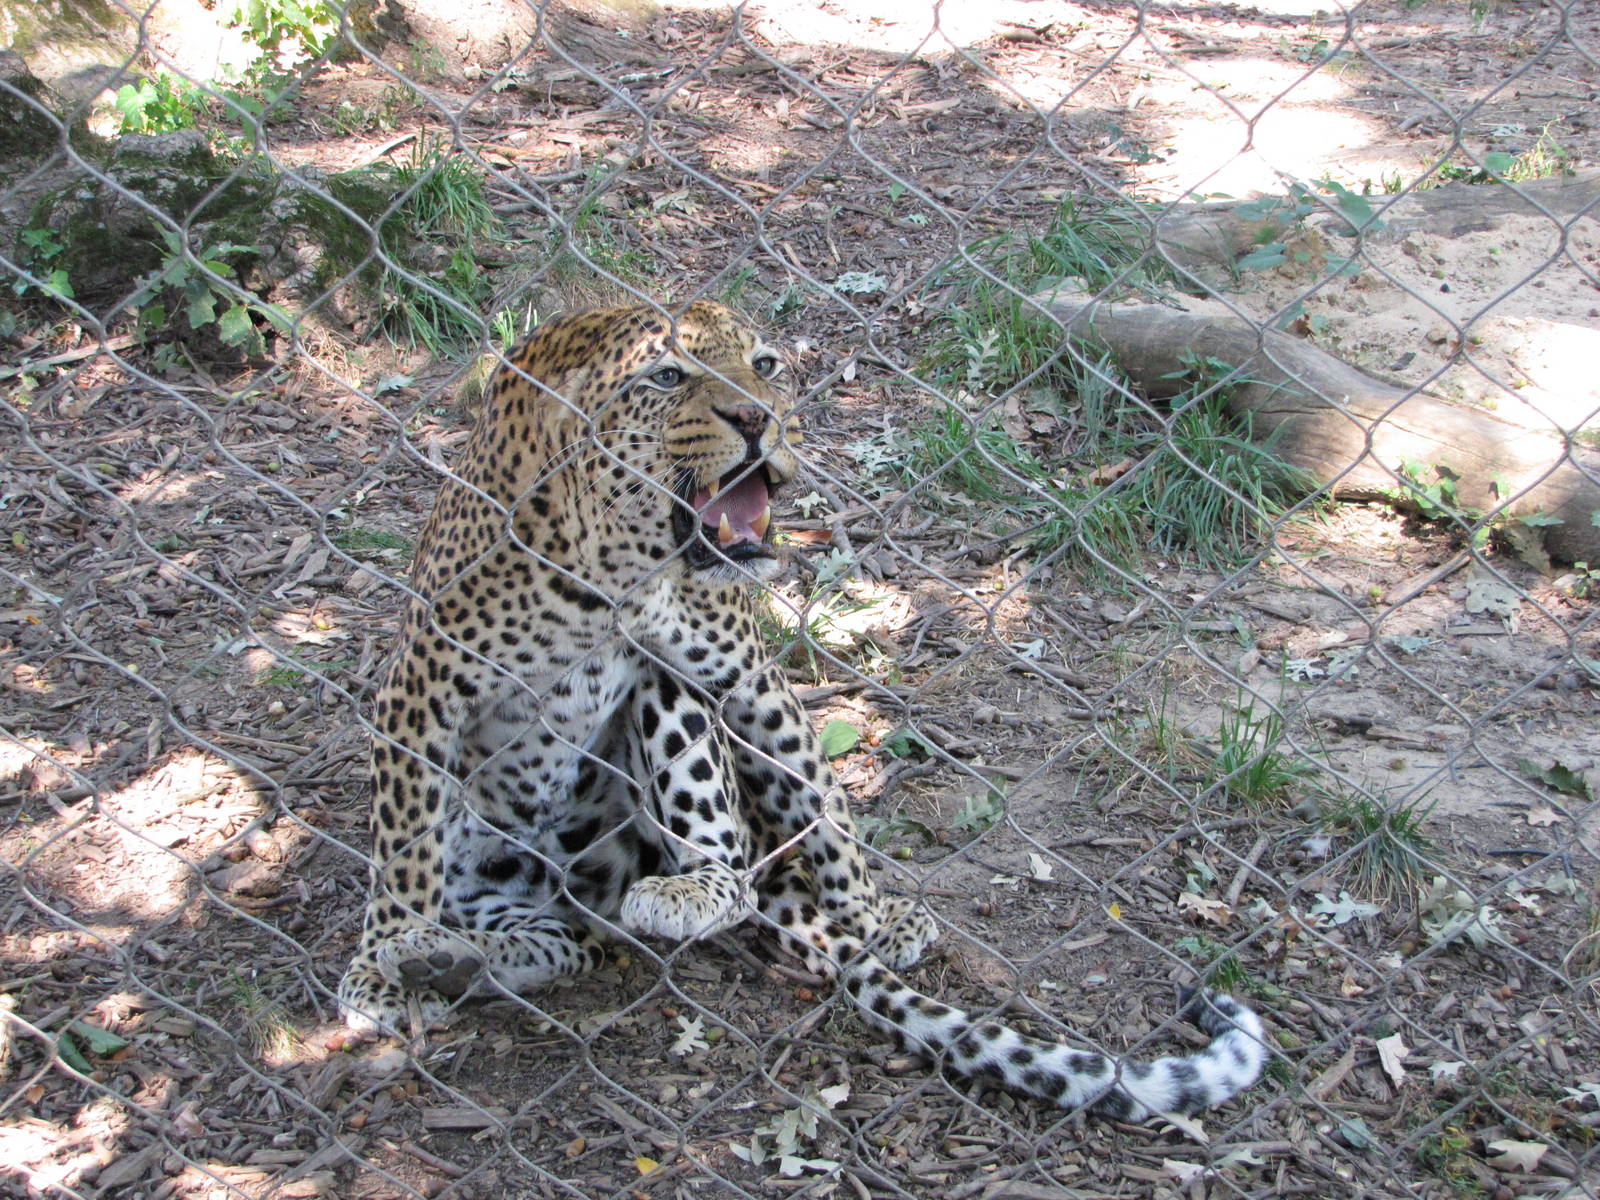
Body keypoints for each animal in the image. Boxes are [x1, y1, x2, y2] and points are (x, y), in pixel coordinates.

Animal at [336, 299, 1266, 1121]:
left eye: (766, 365)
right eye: (667, 376)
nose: (757, 419)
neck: (619, 571)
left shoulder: (741, 673)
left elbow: (824, 801)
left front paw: (874, 915)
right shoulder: (421, 687)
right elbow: (403, 849)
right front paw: (381, 963)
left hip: (672, 719)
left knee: (712, 875)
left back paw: (679, 897)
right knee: (549, 936)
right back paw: (446, 958)